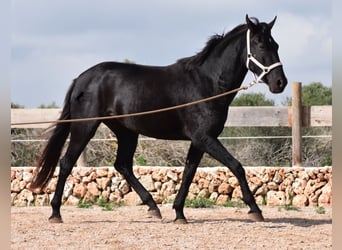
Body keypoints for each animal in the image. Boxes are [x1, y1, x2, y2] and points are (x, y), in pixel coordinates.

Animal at [30, 15, 286, 223]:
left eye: (276, 44)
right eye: (260, 44)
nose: (279, 83)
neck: (207, 83)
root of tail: (81, 79)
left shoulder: (199, 141)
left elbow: (189, 172)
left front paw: (179, 213)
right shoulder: (205, 138)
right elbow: (236, 166)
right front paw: (255, 210)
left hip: (126, 132)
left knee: (122, 165)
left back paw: (153, 207)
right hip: (85, 127)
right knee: (66, 163)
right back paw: (55, 213)